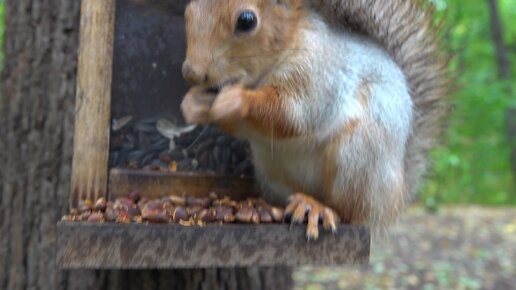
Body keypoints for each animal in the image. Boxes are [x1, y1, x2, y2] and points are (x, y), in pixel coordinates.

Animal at [179, 0, 450, 239]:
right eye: (188, 12)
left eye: (247, 20)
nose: (192, 73)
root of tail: (393, 201)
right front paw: (192, 104)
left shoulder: (319, 75)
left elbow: (294, 113)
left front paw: (236, 100)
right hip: (271, 171)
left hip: (359, 158)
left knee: (350, 211)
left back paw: (319, 208)